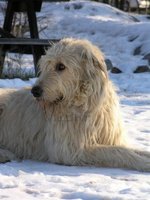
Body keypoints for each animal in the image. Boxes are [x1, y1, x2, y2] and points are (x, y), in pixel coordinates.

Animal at [0, 38, 150, 171]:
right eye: (46, 66)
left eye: (61, 66)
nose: (35, 91)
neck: (85, 105)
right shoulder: (71, 150)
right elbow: (116, 152)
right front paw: (144, 163)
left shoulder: (110, 138)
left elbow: (124, 148)